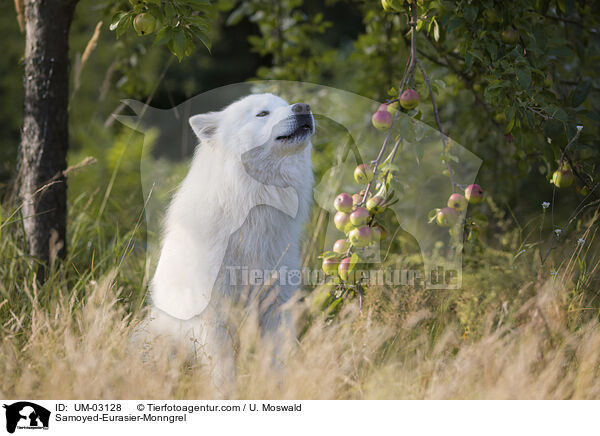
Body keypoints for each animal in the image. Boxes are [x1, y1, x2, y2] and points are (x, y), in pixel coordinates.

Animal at [145, 93, 314, 382]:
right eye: (262, 114)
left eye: (285, 104)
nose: (303, 107)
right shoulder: (215, 314)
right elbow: (223, 371)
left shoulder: (276, 305)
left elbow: (276, 362)